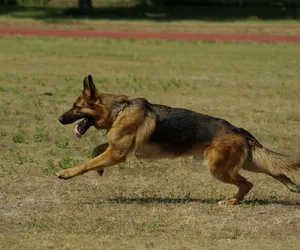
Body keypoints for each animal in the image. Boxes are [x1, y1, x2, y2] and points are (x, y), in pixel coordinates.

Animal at [58, 75, 300, 204]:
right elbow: (96, 151)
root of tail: (239, 130)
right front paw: (98, 168)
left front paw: (67, 173)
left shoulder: (117, 153)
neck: (119, 109)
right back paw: (293, 187)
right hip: (246, 162)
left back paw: (231, 201)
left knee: (248, 184)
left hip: (220, 169)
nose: (59, 119)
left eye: (76, 107)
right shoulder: (117, 148)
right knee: (276, 170)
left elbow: (86, 163)